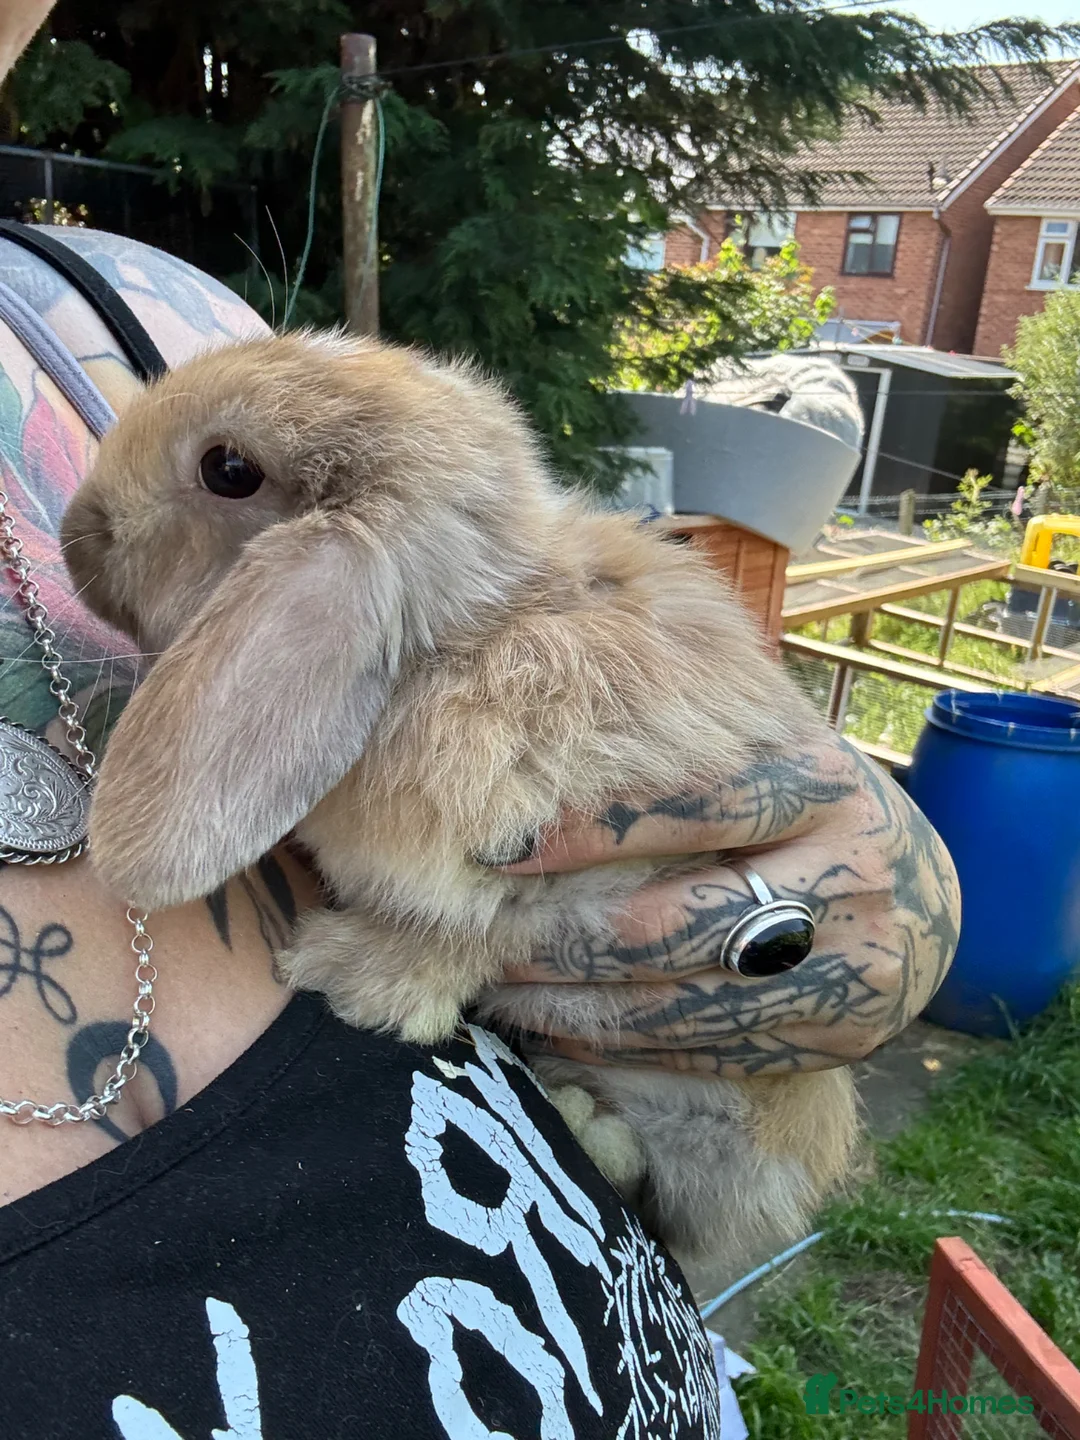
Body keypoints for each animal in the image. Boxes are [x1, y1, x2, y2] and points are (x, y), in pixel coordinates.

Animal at [61, 329, 858, 1261]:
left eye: (228, 470)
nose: (79, 534)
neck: (455, 637)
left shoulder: (547, 864)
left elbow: (462, 937)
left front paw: (350, 975)